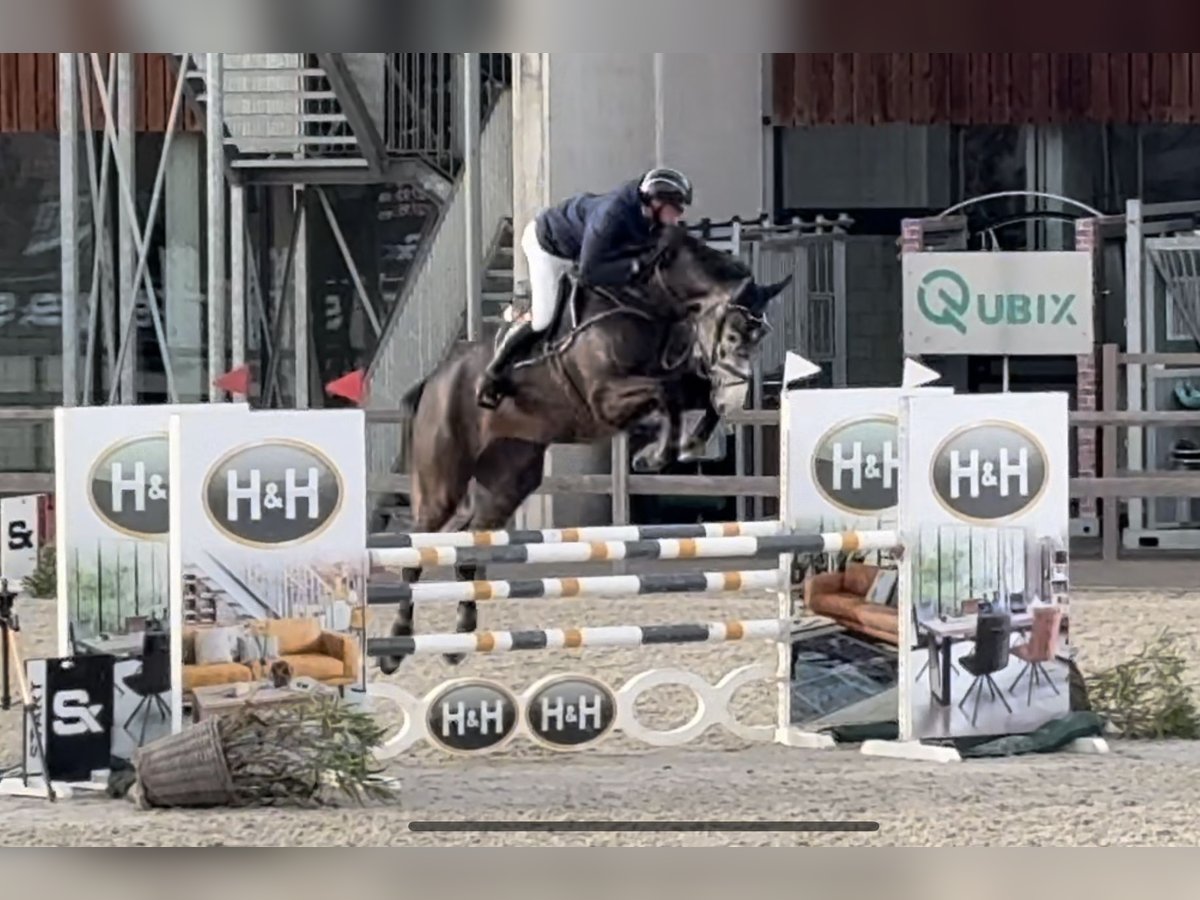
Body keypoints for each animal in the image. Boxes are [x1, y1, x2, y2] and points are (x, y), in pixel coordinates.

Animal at [374, 226, 787, 676]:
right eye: (733, 332)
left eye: (761, 336)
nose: (741, 391)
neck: (649, 303)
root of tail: (434, 380)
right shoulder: (606, 397)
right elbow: (667, 394)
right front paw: (653, 455)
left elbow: (694, 393)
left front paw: (683, 444)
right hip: (442, 481)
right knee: (419, 546)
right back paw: (395, 647)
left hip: (507, 479)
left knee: (467, 544)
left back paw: (460, 638)